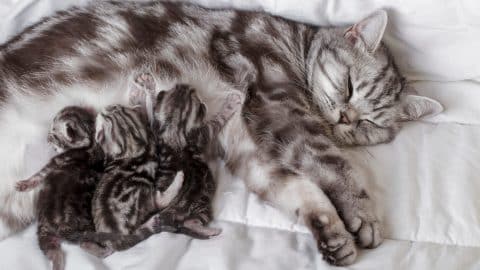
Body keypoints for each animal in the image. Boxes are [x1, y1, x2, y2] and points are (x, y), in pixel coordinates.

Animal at [15, 106, 104, 270]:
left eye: (54, 135)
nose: (46, 137)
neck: (90, 145)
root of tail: (61, 228)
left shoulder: (53, 163)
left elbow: (36, 177)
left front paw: (23, 184)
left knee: (83, 245)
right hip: (47, 234)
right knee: (58, 252)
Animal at [131, 73, 244, 236]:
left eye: (178, 88)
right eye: (194, 94)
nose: (186, 85)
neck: (174, 127)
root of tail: (170, 215)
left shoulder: (156, 128)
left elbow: (151, 110)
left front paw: (146, 88)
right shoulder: (202, 134)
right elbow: (218, 120)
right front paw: (231, 103)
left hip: (201, 206)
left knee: (188, 224)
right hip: (201, 205)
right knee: (187, 223)